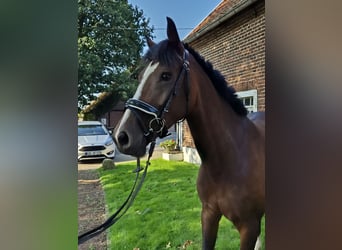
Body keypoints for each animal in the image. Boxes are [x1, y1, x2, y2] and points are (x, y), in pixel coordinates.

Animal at [114, 16, 264, 249]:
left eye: (166, 75)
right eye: (139, 76)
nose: (122, 137)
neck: (229, 158)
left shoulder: (248, 228)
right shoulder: (209, 215)